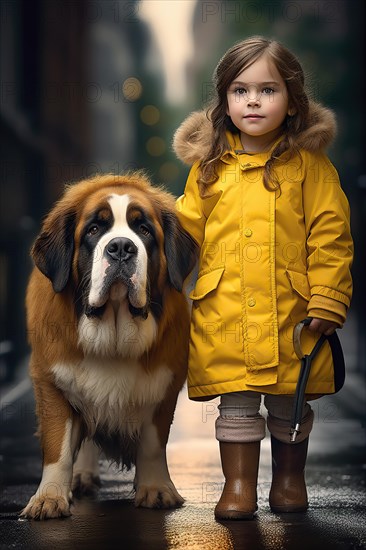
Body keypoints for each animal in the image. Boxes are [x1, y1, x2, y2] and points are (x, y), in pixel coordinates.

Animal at [20, 172, 197, 520]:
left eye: (144, 230)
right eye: (93, 230)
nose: (121, 248)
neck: (112, 337)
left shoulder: (163, 387)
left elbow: (153, 444)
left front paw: (156, 489)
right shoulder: (52, 383)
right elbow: (57, 446)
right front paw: (49, 497)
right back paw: (80, 476)